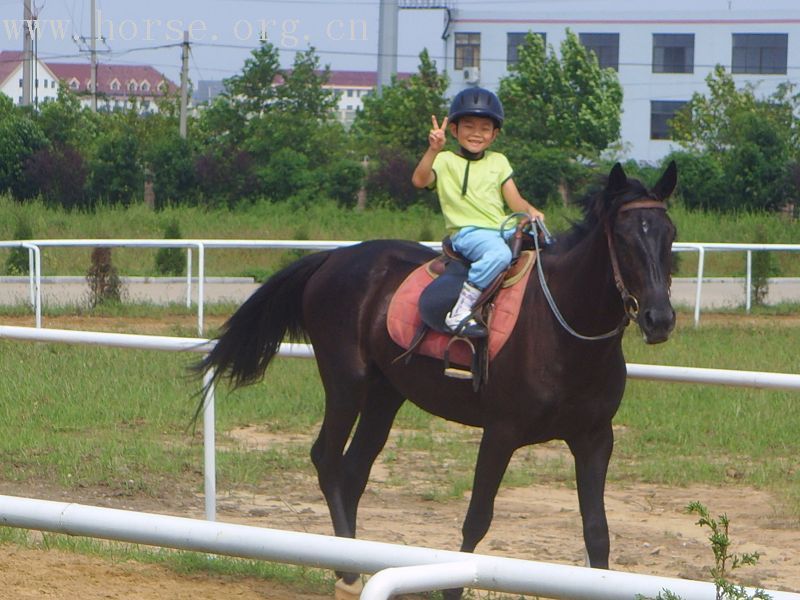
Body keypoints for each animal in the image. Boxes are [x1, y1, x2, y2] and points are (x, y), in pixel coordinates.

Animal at [198, 161, 676, 600]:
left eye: (669, 235)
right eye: (626, 238)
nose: (660, 319)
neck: (562, 330)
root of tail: (334, 257)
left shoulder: (595, 438)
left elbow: (597, 532)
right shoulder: (500, 433)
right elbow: (476, 521)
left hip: (385, 394)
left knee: (353, 470)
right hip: (346, 383)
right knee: (327, 460)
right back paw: (348, 573)